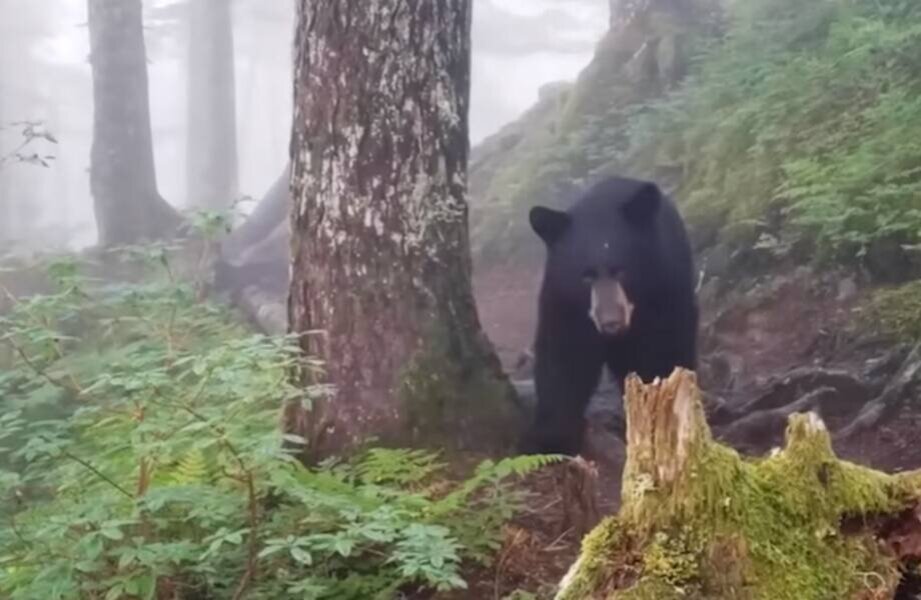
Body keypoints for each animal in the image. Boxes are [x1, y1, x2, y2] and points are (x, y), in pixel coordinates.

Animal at [520, 177, 692, 454]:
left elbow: (662, 355)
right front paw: (552, 435)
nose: (611, 323)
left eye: (622, 270)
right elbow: (563, 358)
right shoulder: (564, 303)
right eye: (585, 276)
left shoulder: (663, 293)